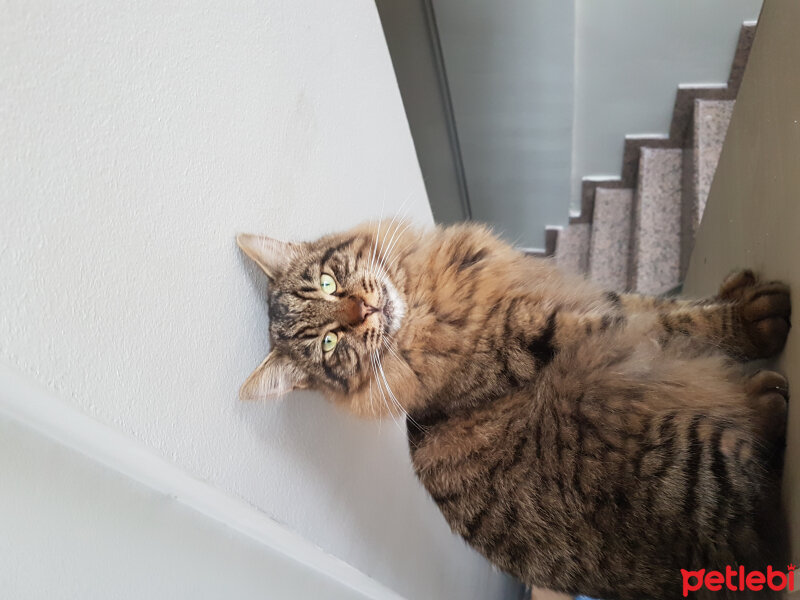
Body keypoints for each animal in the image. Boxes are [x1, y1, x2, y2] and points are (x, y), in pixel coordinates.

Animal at [234, 221, 792, 600]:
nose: (363, 310)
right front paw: (753, 321)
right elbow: (672, 323)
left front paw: (733, 300)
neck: (423, 309)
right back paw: (765, 395)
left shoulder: (585, 299)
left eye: (328, 284)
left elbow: (660, 305)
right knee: (758, 452)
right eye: (330, 343)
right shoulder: (558, 329)